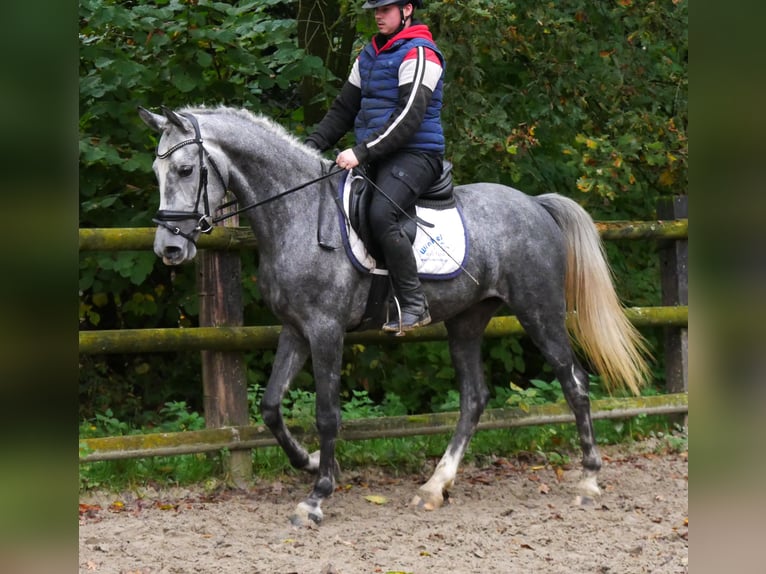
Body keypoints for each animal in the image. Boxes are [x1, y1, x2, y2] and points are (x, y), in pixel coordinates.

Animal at [140, 106, 656, 528]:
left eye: (186, 169)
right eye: (156, 172)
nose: (169, 249)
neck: (298, 212)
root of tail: (535, 204)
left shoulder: (325, 331)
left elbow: (327, 413)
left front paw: (317, 496)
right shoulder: (296, 328)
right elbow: (270, 406)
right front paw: (311, 462)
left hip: (539, 311)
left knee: (574, 382)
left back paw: (588, 482)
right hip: (466, 321)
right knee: (474, 397)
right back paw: (435, 487)